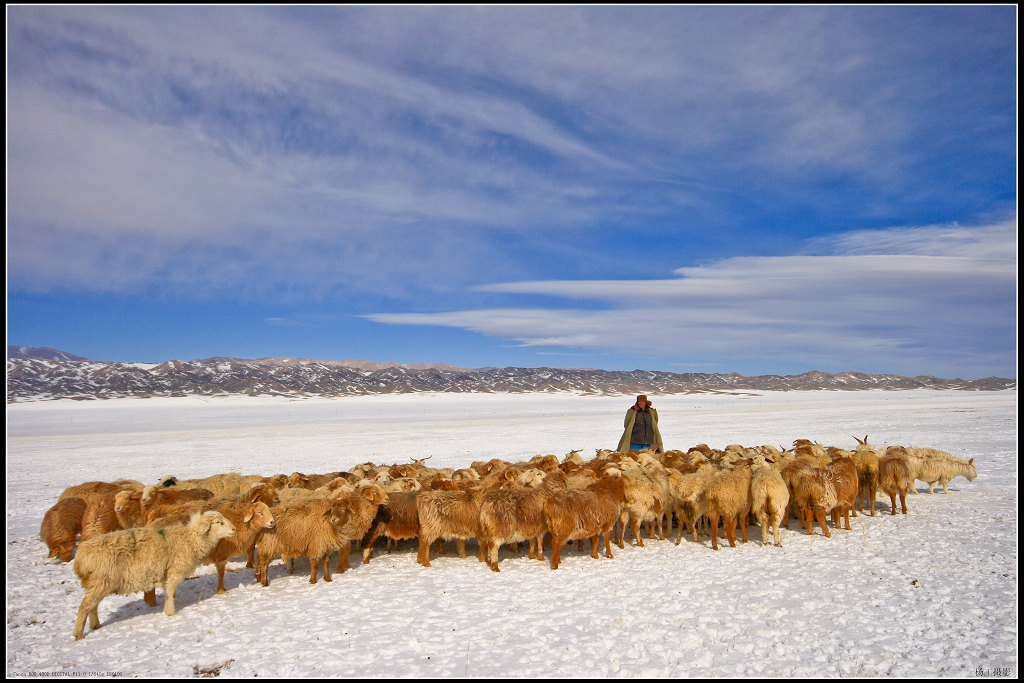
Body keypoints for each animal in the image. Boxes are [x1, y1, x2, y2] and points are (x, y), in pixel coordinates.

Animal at [71, 511, 234, 643]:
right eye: (219, 522)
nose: (234, 529)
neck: (190, 540)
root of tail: (81, 558)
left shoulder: (166, 574)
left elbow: (168, 593)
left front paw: (168, 610)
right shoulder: (174, 571)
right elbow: (171, 592)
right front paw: (172, 613)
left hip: (98, 583)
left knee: (93, 606)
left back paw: (95, 625)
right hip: (101, 581)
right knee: (85, 606)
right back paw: (78, 634)